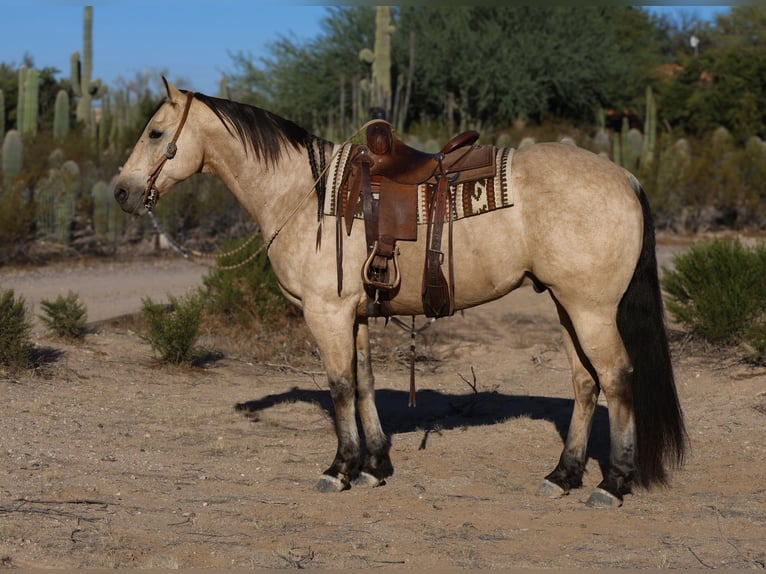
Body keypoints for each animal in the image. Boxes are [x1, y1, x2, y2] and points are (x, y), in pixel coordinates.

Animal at [115, 80, 688, 508]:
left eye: (156, 132)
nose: (121, 191)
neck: (306, 194)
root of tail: (626, 176)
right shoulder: (356, 315)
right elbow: (365, 383)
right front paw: (375, 466)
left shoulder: (326, 313)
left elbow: (340, 386)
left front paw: (340, 469)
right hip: (567, 305)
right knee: (585, 383)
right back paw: (562, 476)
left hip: (591, 310)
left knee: (617, 378)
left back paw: (612, 483)